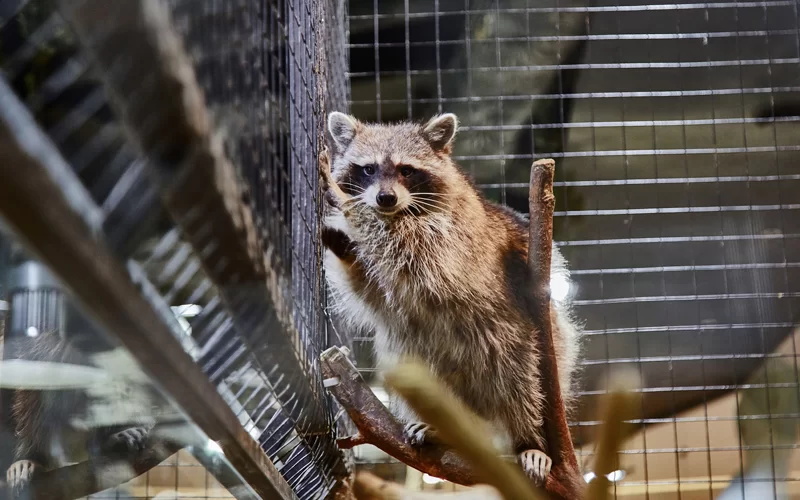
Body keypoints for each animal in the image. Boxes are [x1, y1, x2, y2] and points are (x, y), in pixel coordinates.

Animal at [322, 111, 584, 482]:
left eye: (406, 170)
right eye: (368, 169)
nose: (385, 198)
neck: (400, 212)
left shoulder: (455, 237)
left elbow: (414, 252)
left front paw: (345, 203)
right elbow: (372, 293)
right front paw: (345, 241)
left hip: (528, 342)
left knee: (524, 383)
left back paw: (530, 440)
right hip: (420, 356)